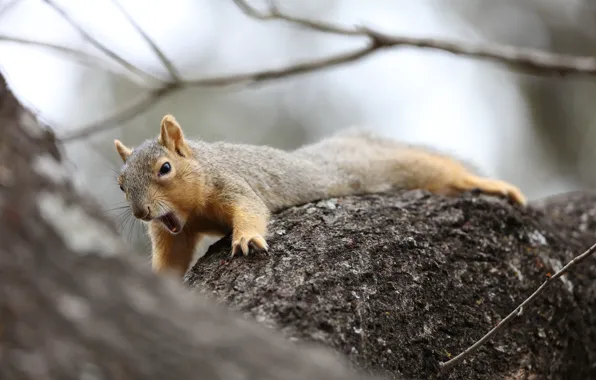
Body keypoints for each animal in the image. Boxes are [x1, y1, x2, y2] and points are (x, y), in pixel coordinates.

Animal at [115, 114, 528, 278]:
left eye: (165, 168)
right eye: (121, 183)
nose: (141, 212)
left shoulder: (232, 183)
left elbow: (250, 210)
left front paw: (247, 238)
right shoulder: (173, 233)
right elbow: (172, 258)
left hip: (392, 167)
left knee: (443, 172)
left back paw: (491, 184)